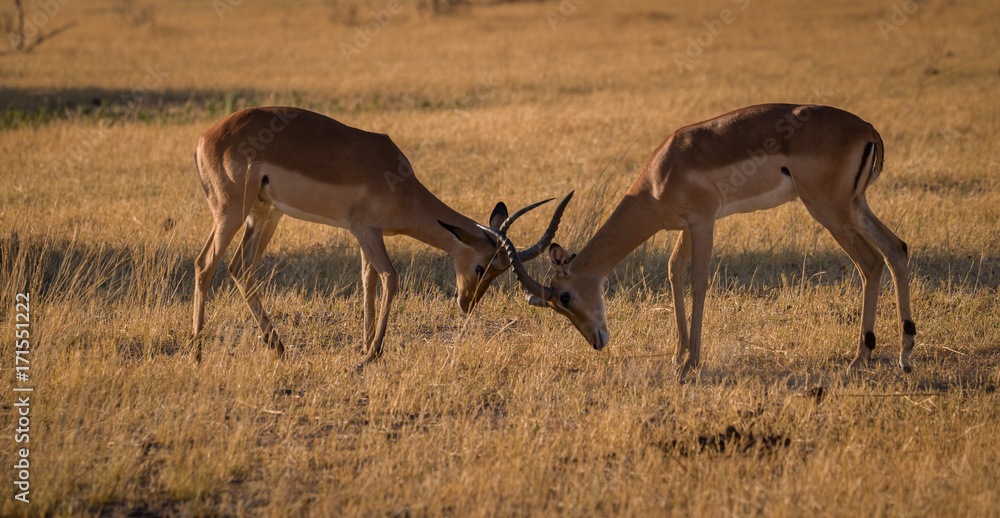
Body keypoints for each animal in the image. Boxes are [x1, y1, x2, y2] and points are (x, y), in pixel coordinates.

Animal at [193, 106, 572, 365]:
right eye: (481, 266)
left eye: (498, 271)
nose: (466, 303)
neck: (398, 180)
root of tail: (205, 137)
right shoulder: (365, 230)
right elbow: (390, 277)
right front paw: (371, 354)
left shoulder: (367, 235)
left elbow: (368, 282)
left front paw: (364, 346)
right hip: (231, 211)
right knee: (204, 264)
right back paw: (196, 352)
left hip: (265, 213)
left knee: (240, 268)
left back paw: (279, 347)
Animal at [487, 104, 916, 378]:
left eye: (564, 297)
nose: (597, 341)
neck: (661, 173)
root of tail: (867, 129)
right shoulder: (683, 228)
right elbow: (674, 273)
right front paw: (678, 355)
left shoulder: (704, 221)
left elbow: (697, 280)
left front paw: (691, 362)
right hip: (854, 205)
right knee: (897, 248)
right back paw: (905, 354)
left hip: (829, 209)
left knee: (871, 262)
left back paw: (861, 358)